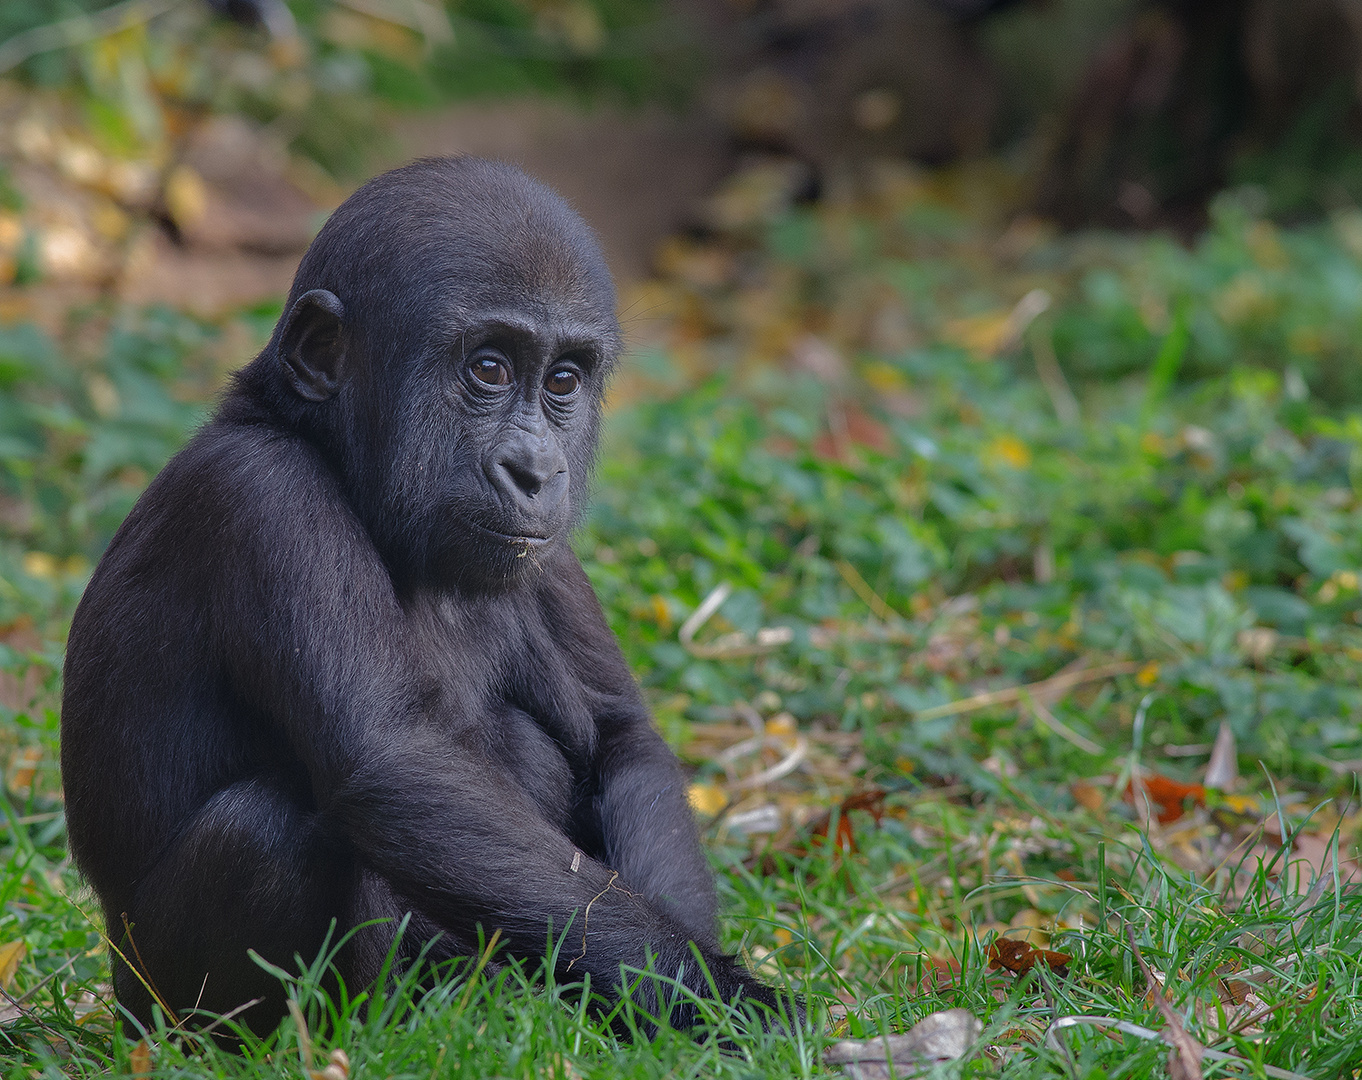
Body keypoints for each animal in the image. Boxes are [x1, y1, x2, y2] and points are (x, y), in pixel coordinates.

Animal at [64, 155, 784, 1029]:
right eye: (489, 369)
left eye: (564, 380)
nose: (535, 470)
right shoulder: (266, 498)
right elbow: (392, 761)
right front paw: (720, 997)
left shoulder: (553, 555)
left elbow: (625, 739)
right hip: (153, 1001)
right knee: (265, 828)